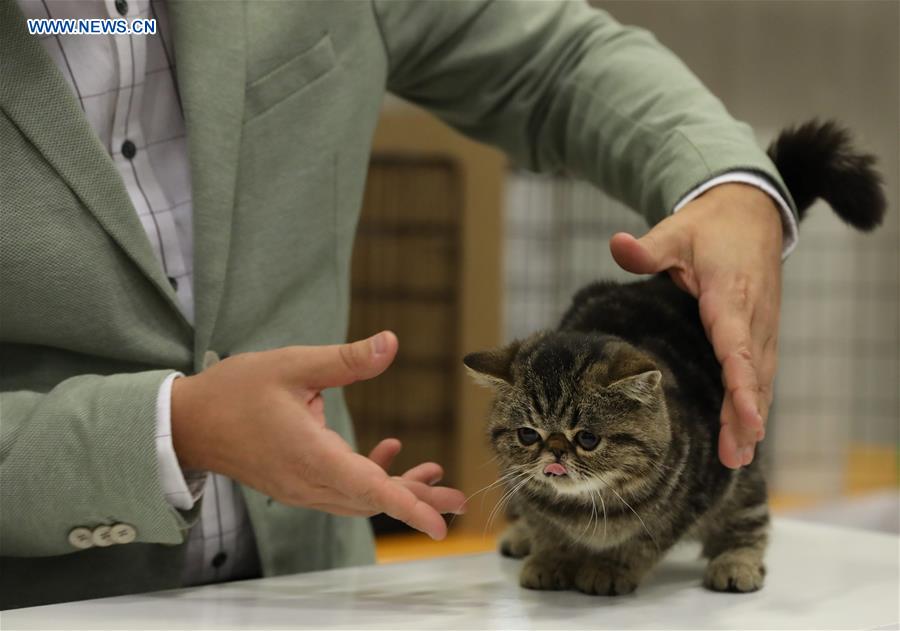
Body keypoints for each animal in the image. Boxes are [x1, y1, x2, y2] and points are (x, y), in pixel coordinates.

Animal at [464, 119, 884, 596]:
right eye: (527, 435)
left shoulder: (696, 493)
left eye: (587, 439)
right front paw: (551, 557)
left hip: (743, 465)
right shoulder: (531, 493)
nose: (554, 451)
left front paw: (609, 567)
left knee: (750, 519)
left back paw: (737, 562)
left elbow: (644, 538)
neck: (588, 506)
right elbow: (545, 525)